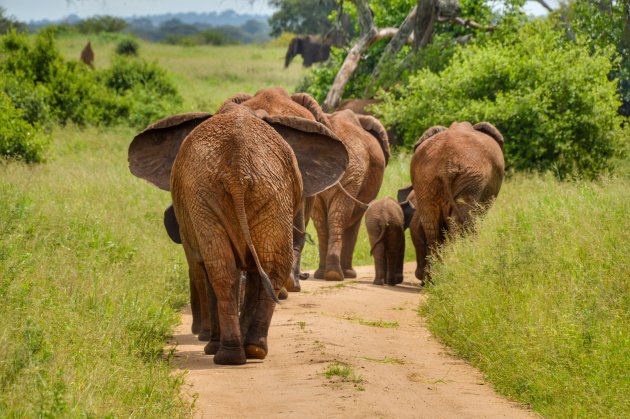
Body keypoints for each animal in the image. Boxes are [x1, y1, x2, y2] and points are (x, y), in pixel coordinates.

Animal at [126, 91, 348, 364]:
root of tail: (238, 169)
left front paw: (212, 345)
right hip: (266, 192)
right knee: (265, 266)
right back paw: (251, 350)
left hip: (225, 196)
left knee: (222, 268)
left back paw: (227, 353)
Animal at [310, 109, 392, 282]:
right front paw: (350, 274)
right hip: (353, 170)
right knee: (338, 216)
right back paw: (335, 274)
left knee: (325, 220)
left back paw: (328, 274)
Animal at [410, 121, 508, 286]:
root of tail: (446, 165)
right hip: (472, 180)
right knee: (461, 222)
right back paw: (457, 267)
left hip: (425, 179)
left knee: (431, 224)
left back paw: (434, 279)